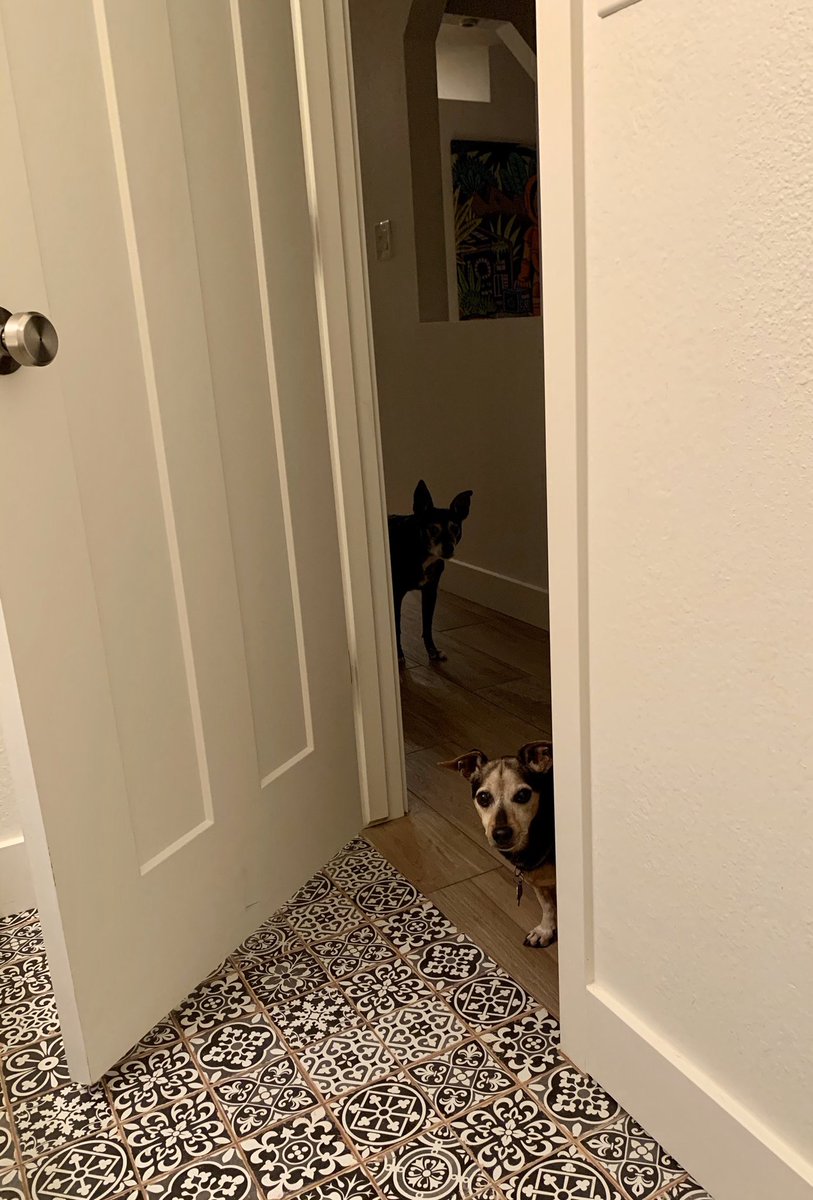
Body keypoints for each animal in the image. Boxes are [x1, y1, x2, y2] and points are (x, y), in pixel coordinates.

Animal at [390, 480, 474, 667]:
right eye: (433, 529)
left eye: (455, 528)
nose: (449, 548)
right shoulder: (396, 594)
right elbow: (397, 626)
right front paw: (398, 655)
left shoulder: (430, 592)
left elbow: (427, 625)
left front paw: (433, 651)